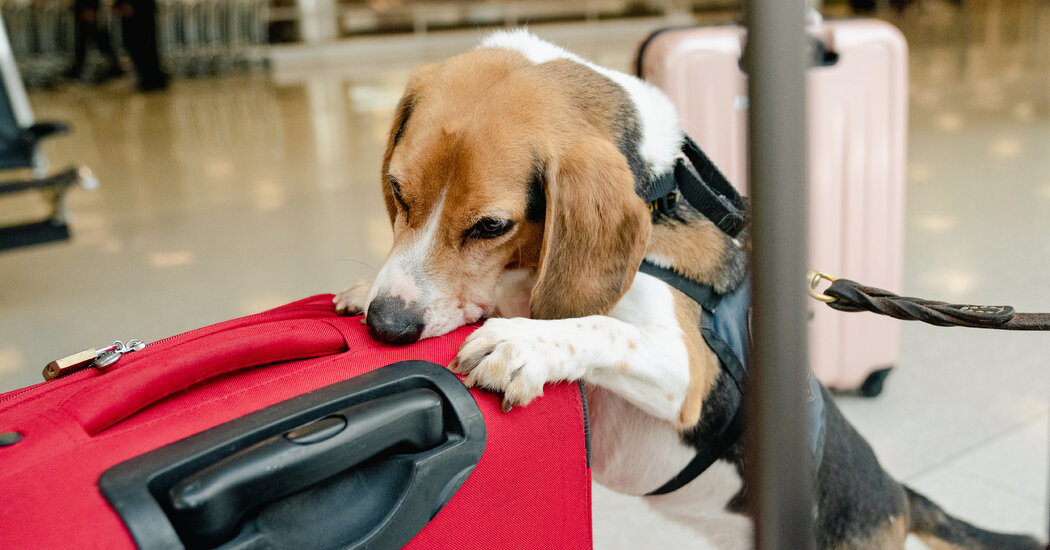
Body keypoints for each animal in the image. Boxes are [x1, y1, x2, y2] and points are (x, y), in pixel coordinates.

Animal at [333, 31, 1041, 550]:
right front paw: (369, 287)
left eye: (491, 226)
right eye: (396, 191)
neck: (659, 192)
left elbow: (599, 325)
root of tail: (895, 492)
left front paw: (522, 344)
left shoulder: (686, 374)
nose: (389, 326)